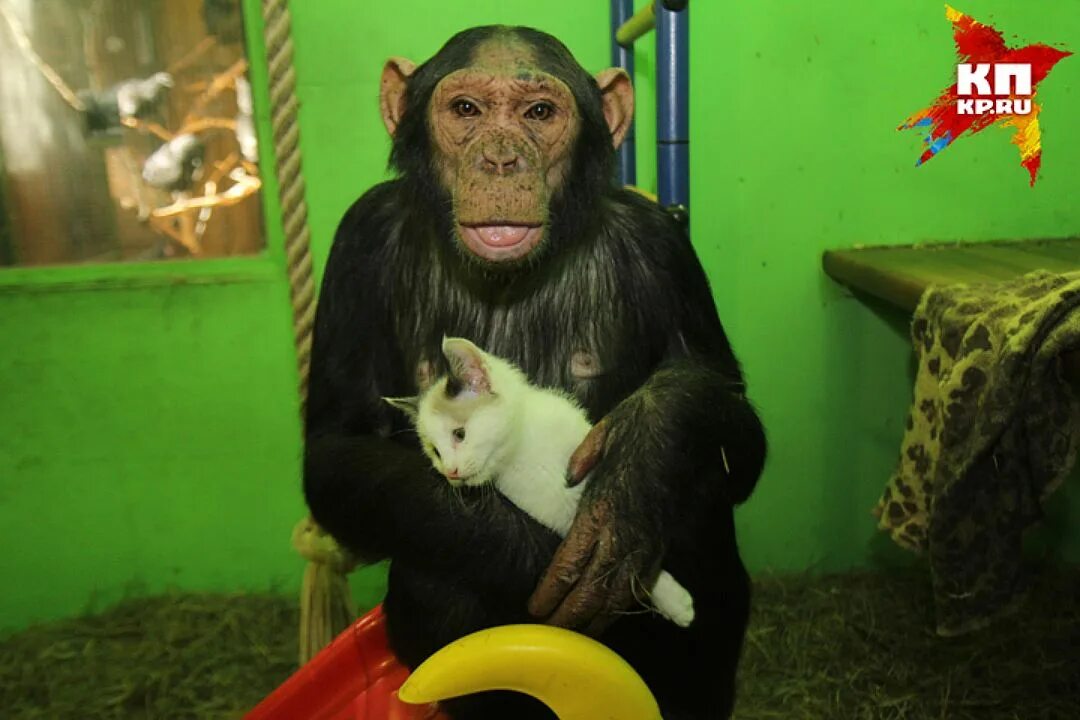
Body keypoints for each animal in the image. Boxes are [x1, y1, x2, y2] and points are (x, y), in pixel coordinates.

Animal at [384, 334, 695, 626]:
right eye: (435, 452)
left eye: (459, 434)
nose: (451, 472)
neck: (523, 451)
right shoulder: (553, 515)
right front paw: (672, 598)